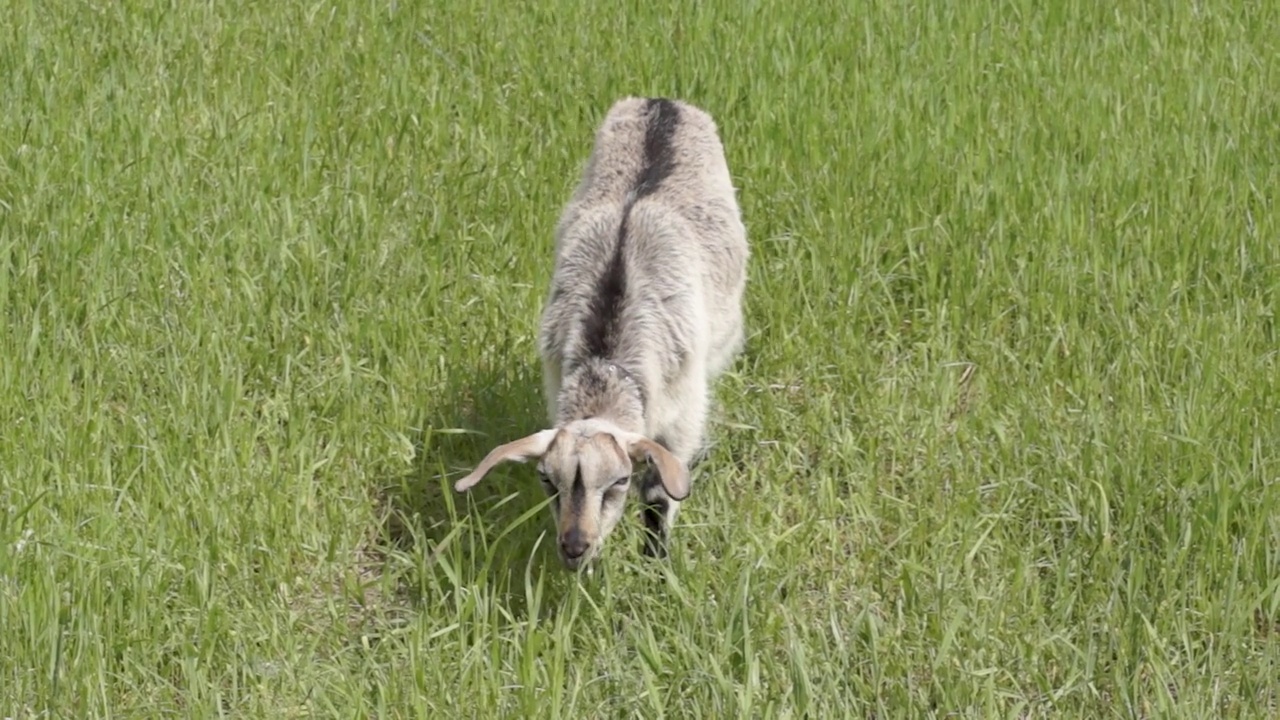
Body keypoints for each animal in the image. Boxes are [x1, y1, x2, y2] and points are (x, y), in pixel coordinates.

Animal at [453, 95, 747, 568]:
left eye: (619, 481)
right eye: (546, 480)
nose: (575, 547)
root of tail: (661, 101)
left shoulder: (683, 413)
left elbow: (660, 492)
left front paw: (655, 563)